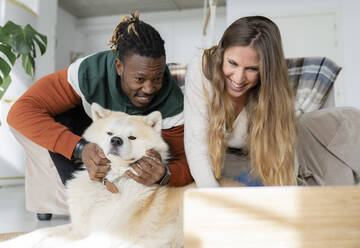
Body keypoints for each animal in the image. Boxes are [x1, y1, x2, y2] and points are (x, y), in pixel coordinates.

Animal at [1, 101, 242, 247]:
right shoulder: (80, 227)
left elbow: (57, 243)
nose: (116, 140)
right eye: (110, 133)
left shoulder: (105, 235)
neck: (112, 181)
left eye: (132, 137)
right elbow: (36, 234)